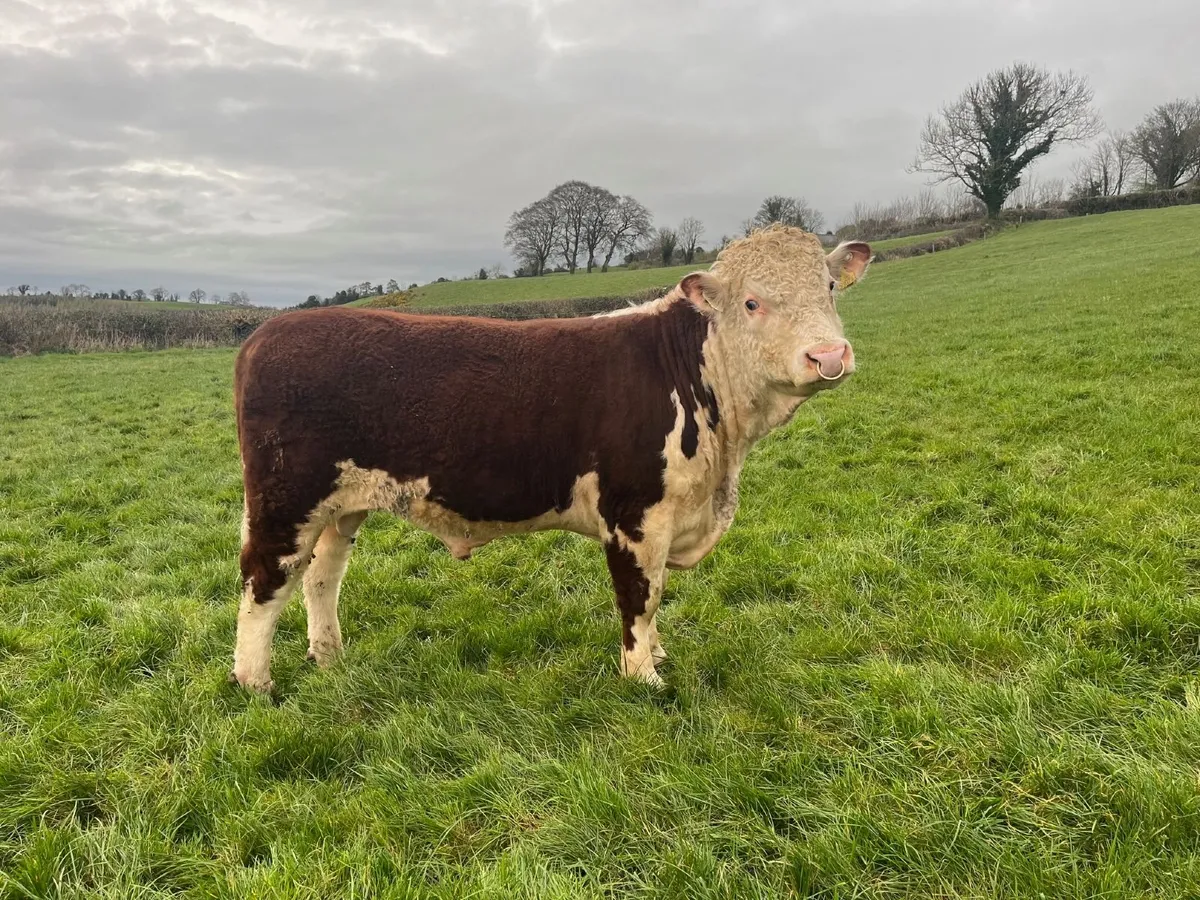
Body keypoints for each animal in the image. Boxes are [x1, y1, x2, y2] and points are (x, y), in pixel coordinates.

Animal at [231, 225, 871, 693]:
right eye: (752, 302)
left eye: (829, 288)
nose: (828, 355)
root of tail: (267, 332)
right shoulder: (634, 515)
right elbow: (640, 597)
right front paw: (644, 677)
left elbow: (658, 593)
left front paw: (659, 653)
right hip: (286, 497)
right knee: (265, 578)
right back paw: (255, 682)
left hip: (342, 504)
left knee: (321, 577)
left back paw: (330, 659)